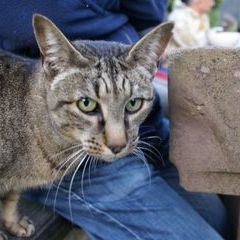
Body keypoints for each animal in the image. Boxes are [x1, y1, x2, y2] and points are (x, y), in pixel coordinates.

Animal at [0, 15, 172, 238]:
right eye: (86, 104)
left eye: (133, 104)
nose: (118, 146)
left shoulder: (14, 187)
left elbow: (11, 198)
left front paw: (13, 222)